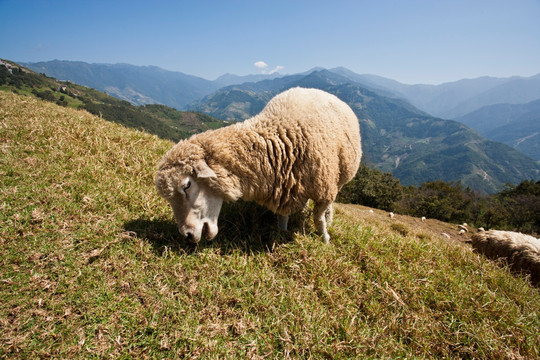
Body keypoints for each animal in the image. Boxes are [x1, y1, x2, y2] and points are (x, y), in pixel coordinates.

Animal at [154, 88, 360, 245]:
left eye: (187, 185)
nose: (187, 235)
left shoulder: (323, 190)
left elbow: (318, 218)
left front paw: (324, 239)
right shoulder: (284, 189)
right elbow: (282, 215)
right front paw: (281, 233)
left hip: (340, 178)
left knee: (330, 203)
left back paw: (329, 219)